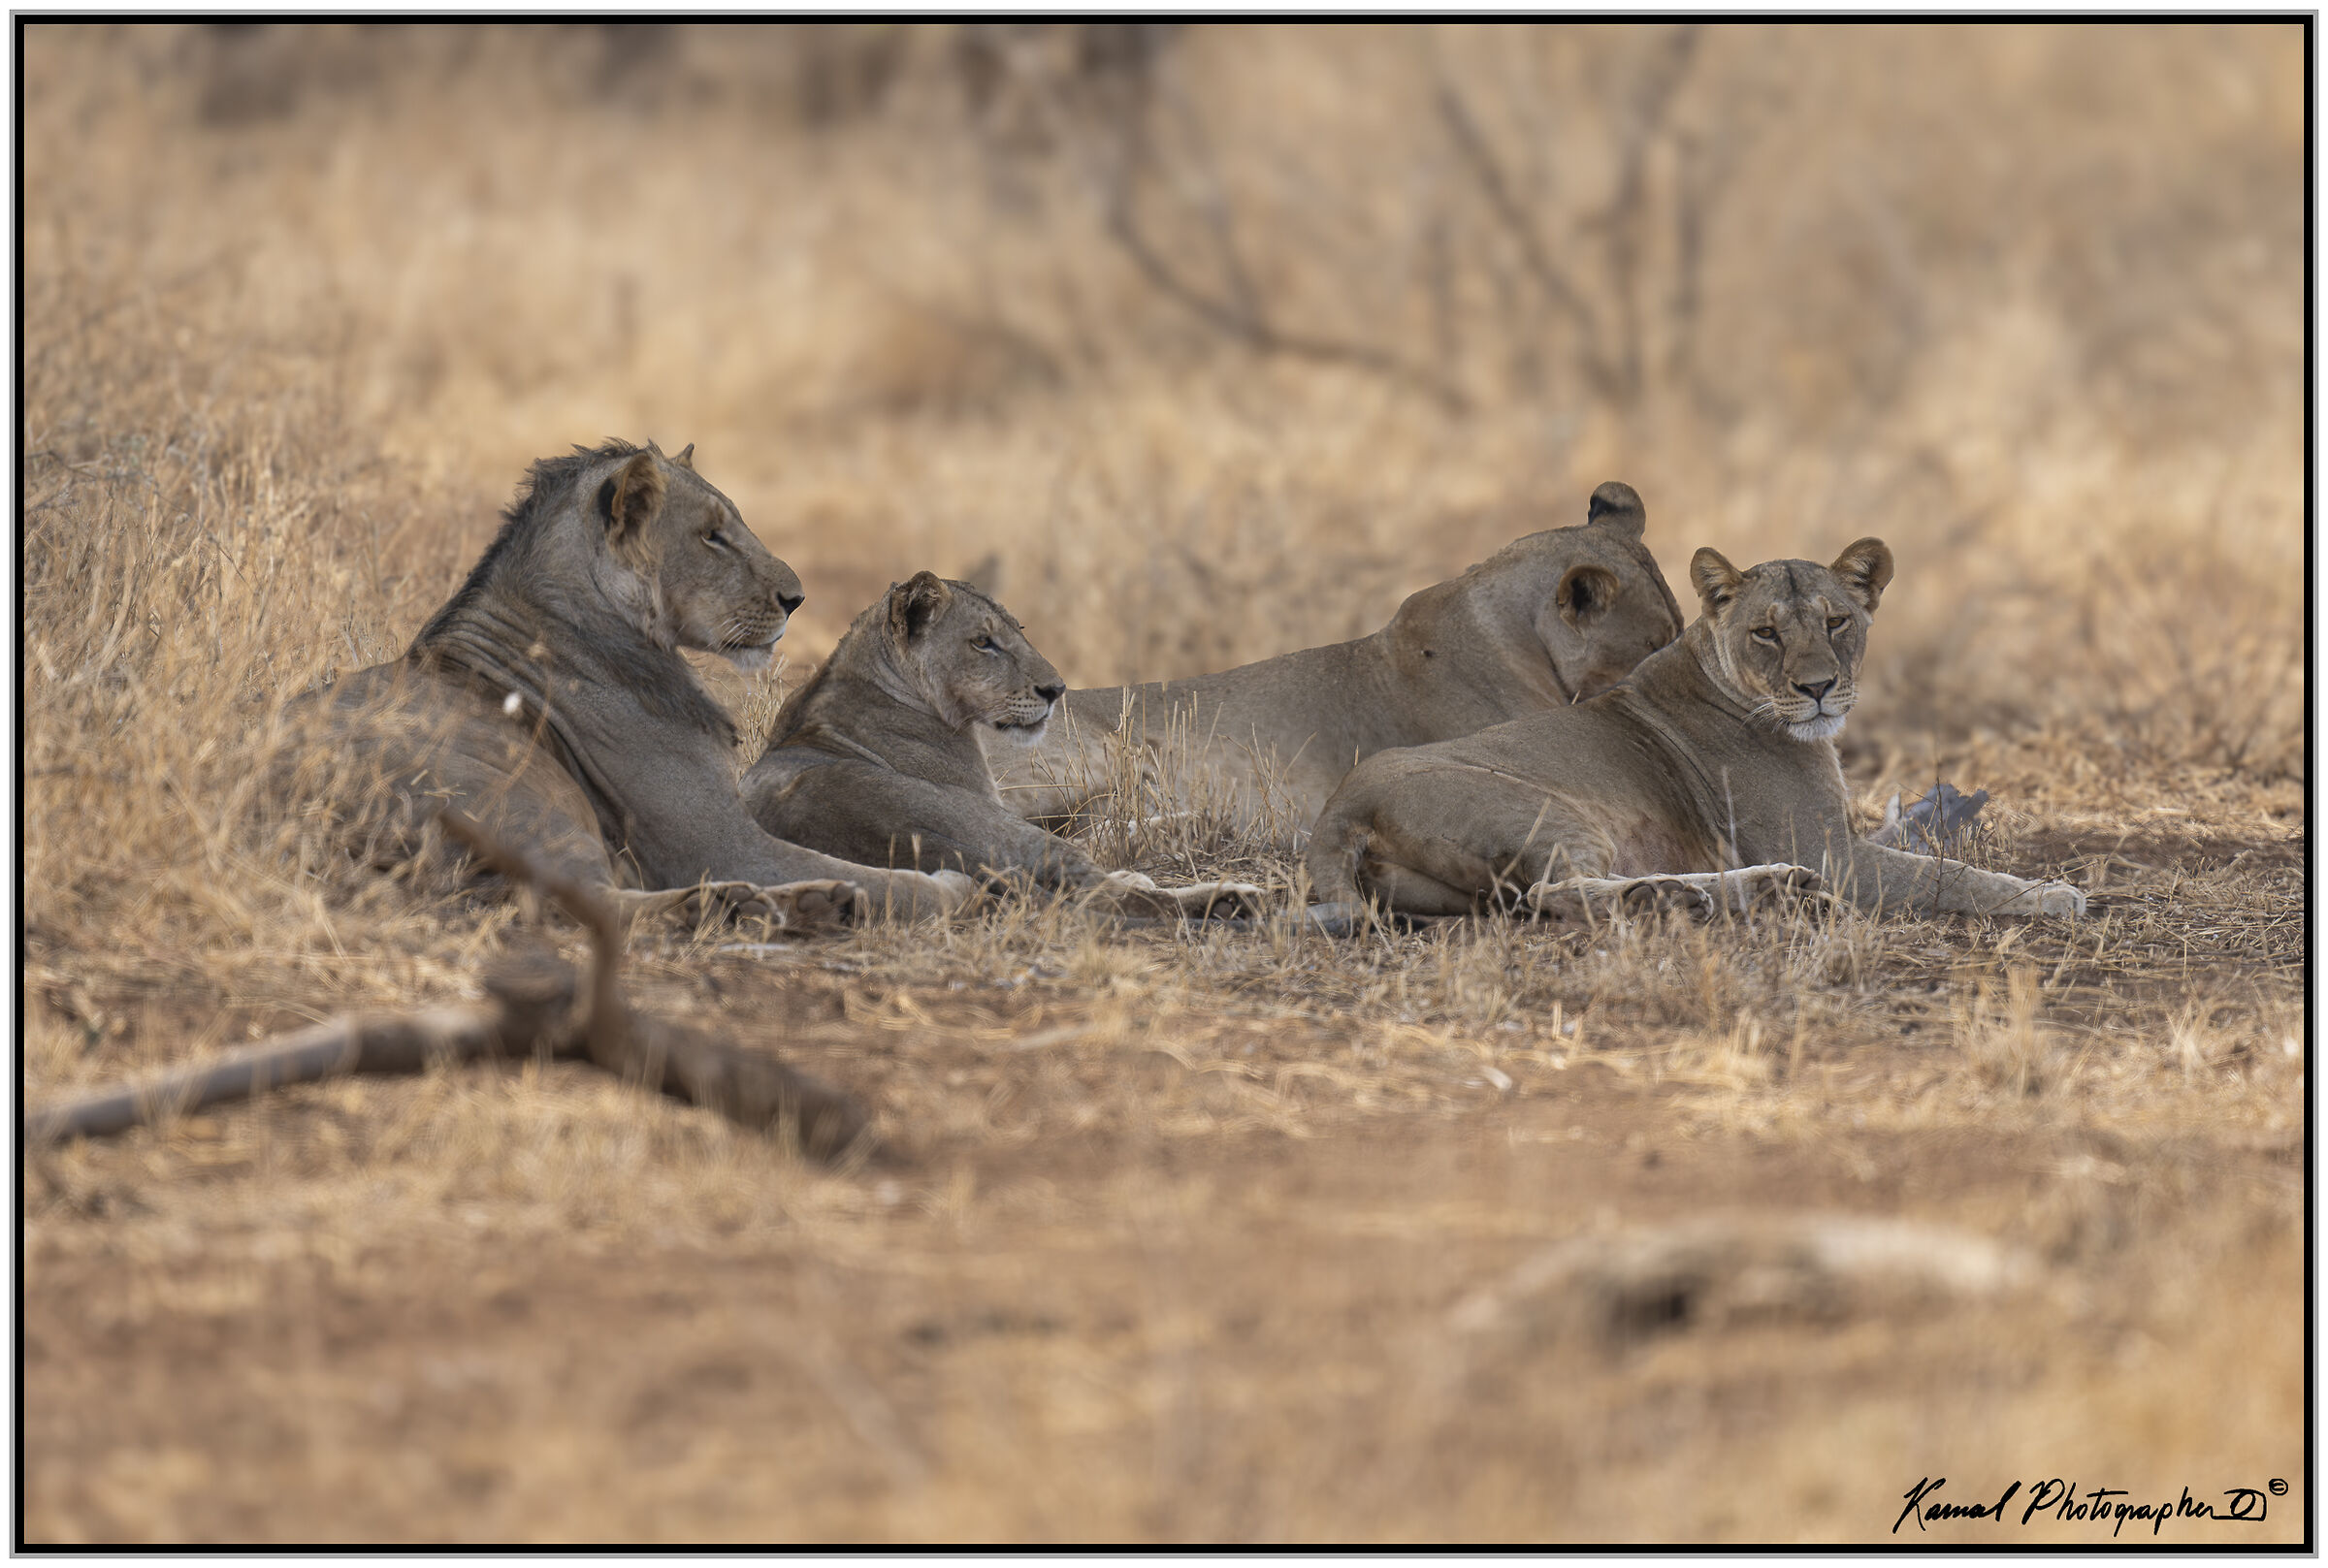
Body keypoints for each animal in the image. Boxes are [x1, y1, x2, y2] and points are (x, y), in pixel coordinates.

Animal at [285, 439, 973, 928]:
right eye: (713, 535)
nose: (796, 599)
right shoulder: (718, 841)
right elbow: (893, 882)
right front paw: (957, 888)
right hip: (526, 797)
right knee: (575, 901)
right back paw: (744, 905)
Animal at [742, 572, 1261, 919]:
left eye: (1019, 633)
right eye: (984, 642)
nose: (1056, 690)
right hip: (1004, 831)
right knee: (1113, 895)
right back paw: (1232, 897)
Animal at [1302, 537, 2087, 925]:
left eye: (1837, 621)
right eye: (1766, 632)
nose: (1817, 687)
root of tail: (1338, 809)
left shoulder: (1831, 846)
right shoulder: (1833, 853)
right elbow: (1950, 877)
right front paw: (2051, 896)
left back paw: (1764, 890)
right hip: (1539, 807)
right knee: (1555, 894)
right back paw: (1672, 900)